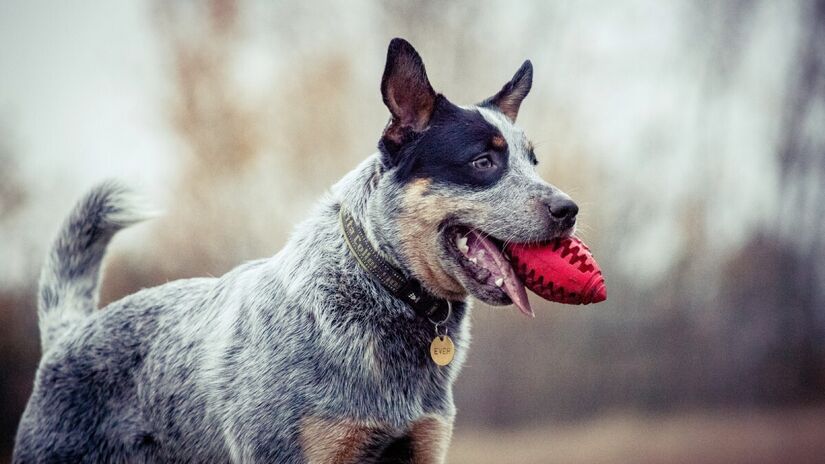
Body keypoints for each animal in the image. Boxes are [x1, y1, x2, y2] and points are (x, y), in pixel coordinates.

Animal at [14, 39, 580, 464]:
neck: (381, 291)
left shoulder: (422, 442)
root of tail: (69, 333)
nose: (569, 209)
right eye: (483, 161)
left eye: (532, 161)